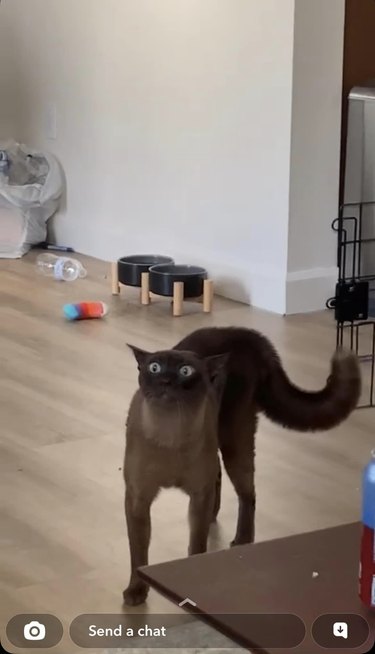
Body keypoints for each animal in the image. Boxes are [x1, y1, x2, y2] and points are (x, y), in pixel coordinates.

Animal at [123, 326, 362, 608]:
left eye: (185, 371)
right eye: (155, 368)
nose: (166, 381)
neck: (169, 434)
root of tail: (246, 334)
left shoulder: (198, 494)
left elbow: (196, 543)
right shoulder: (137, 498)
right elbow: (138, 553)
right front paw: (135, 592)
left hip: (235, 439)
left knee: (247, 494)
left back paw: (241, 540)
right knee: (221, 479)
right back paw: (216, 516)